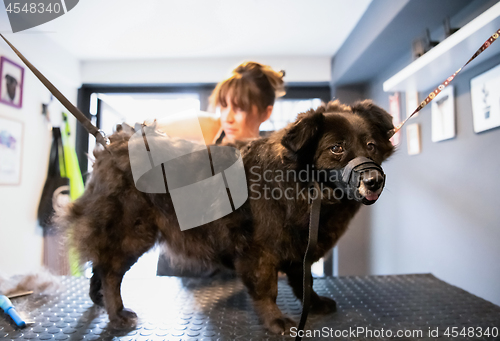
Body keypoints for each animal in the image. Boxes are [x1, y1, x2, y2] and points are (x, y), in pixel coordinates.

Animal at [59, 98, 394, 332]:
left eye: (371, 146)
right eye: (336, 148)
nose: (374, 180)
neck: (302, 186)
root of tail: (112, 145)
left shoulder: (299, 250)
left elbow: (305, 282)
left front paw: (314, 304)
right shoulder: (258, 251)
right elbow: (267, 289)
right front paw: (275, 321)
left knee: (100, 266)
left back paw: (100, 302)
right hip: (132, 234)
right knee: (110, 272)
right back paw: (116, 314)